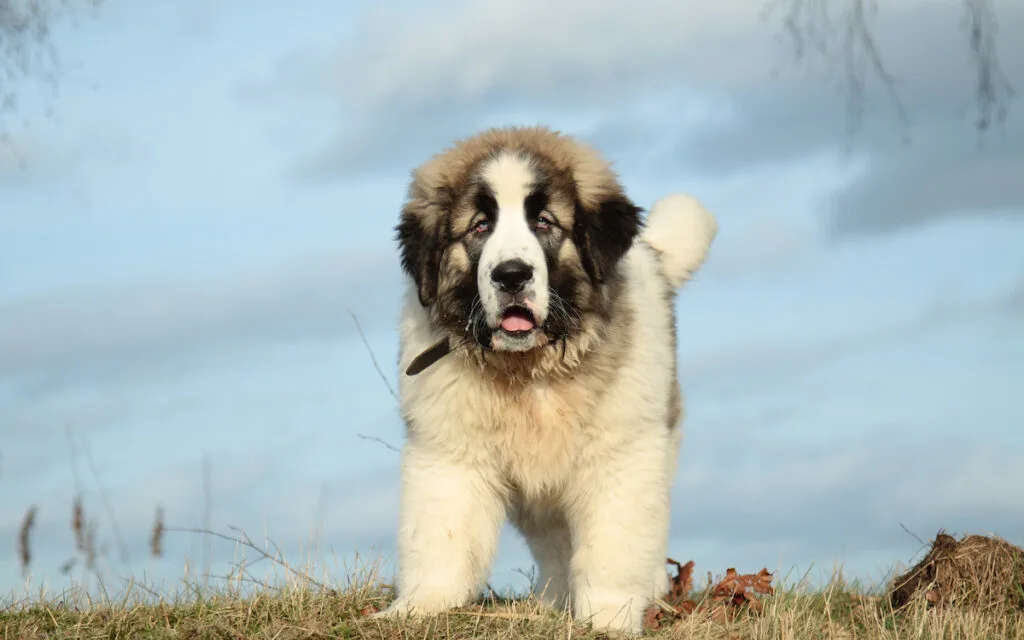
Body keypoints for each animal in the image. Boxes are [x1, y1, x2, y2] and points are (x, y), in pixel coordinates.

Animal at [372, 125, 716, 634]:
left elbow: (613, 543)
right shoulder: (450, 451)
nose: (511, 275)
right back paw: (551, 599)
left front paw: (609, 617)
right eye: (480, 226)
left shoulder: (621, 456)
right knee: (553, 541)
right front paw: (419, 607)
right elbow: (442, 533)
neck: (531, 373)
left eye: (544, 223)